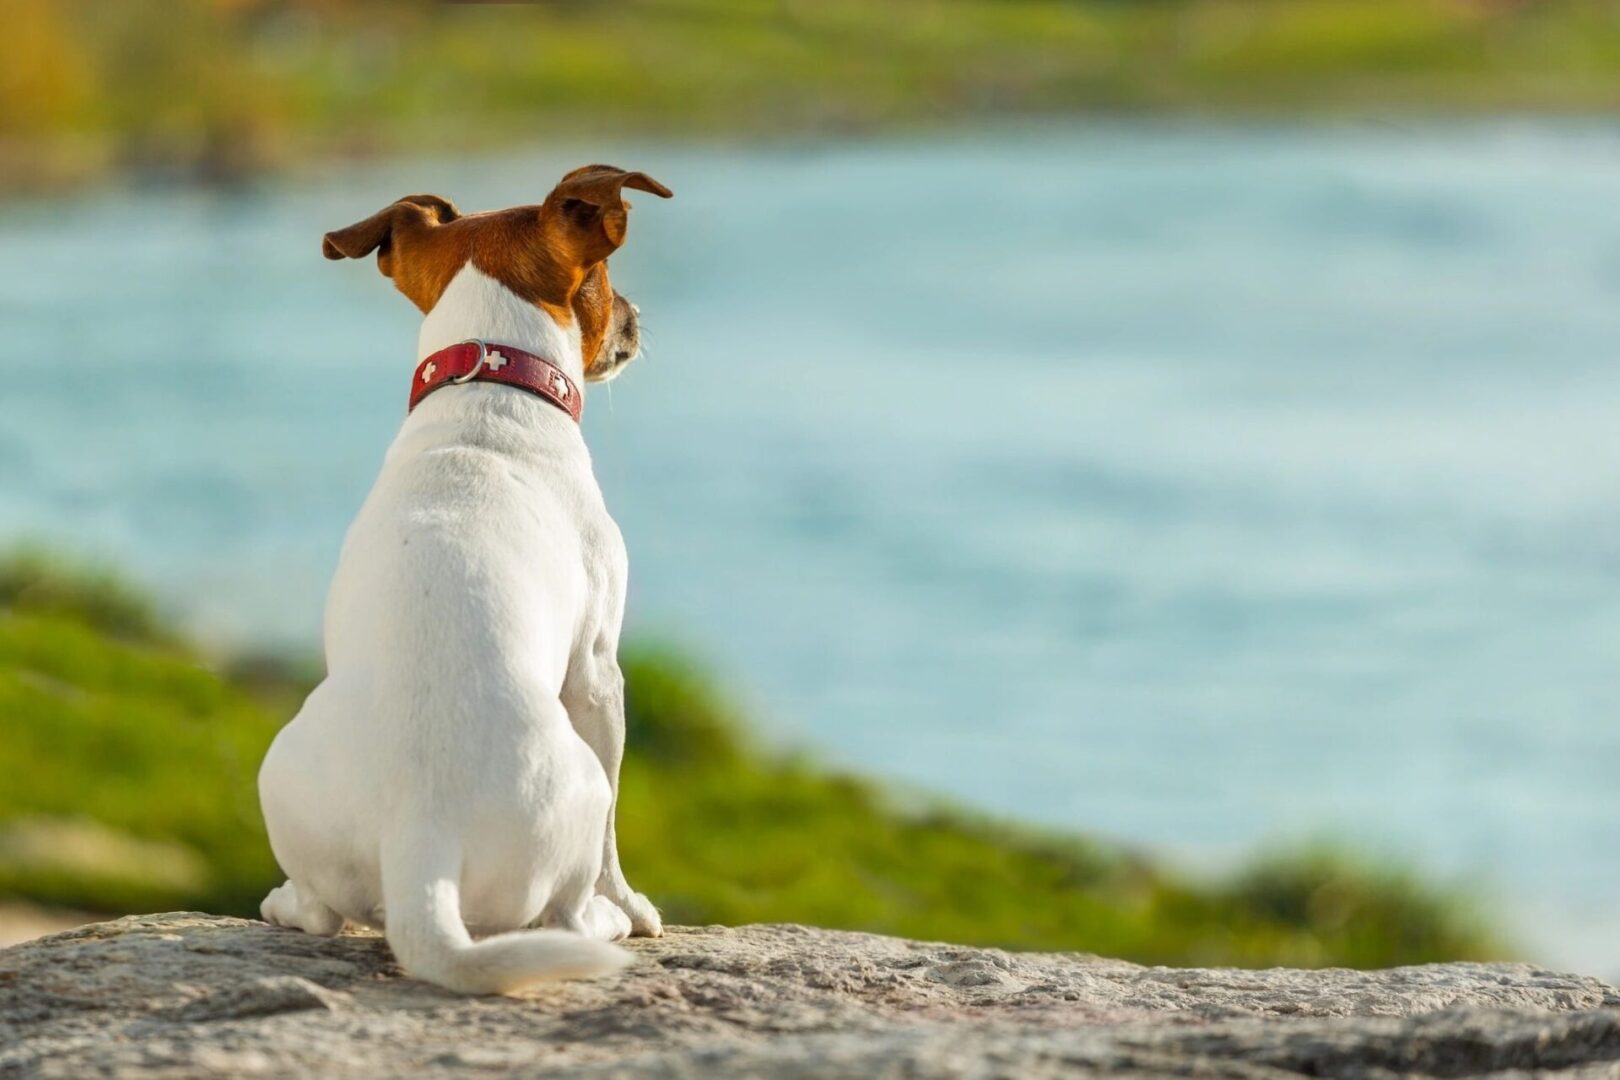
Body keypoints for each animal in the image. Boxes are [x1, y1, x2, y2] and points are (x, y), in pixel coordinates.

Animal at [257, 162, 670, 997]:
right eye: (607, 280)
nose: (638, 316)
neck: (490, 386)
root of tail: (421, 840)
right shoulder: (599, 673)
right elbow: (617, 836)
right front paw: (633, 904)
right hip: (576, 784)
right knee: (567, 911)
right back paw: (604, 920)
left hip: (279, 774)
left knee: (320, 908)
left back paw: (283, 901)